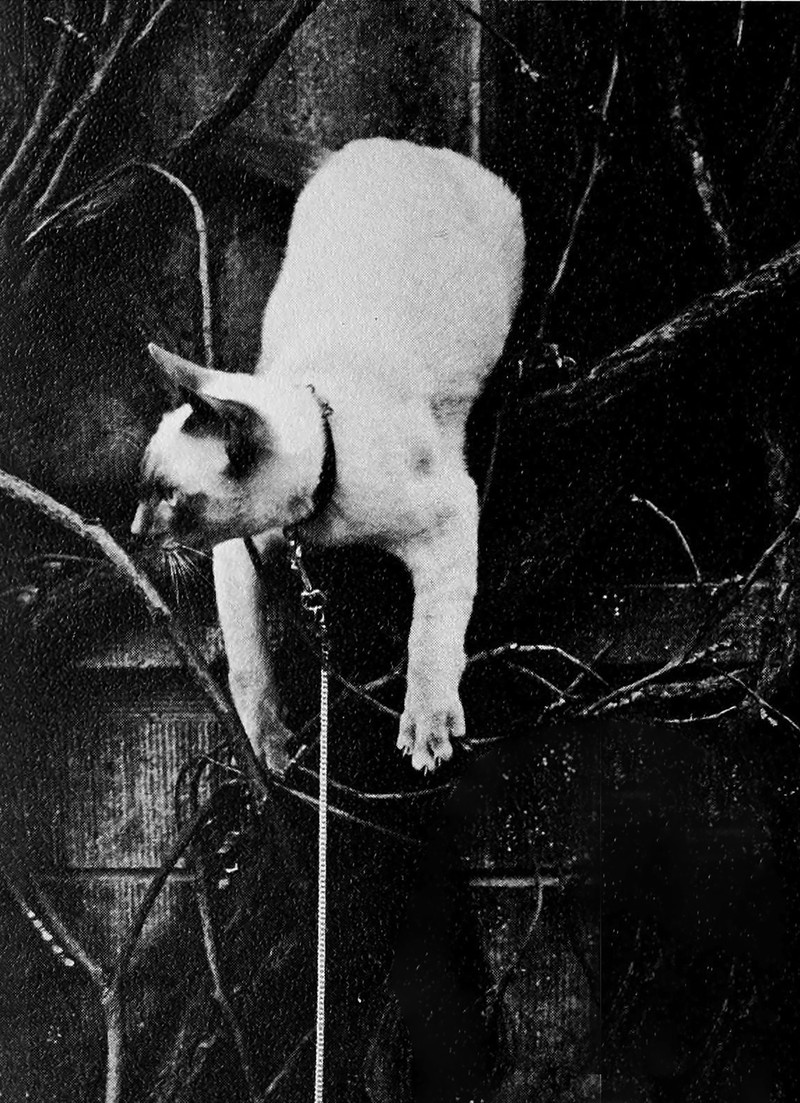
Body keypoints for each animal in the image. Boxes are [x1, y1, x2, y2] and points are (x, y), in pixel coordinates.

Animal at [132, 137, 525, 773]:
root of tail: (395, 146)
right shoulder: (240, 553)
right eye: (144, 489)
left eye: (167, 495)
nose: (135, 532)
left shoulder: (450, 516)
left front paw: (426, 731)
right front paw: (269, 749)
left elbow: (430, 636)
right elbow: (249, 666)